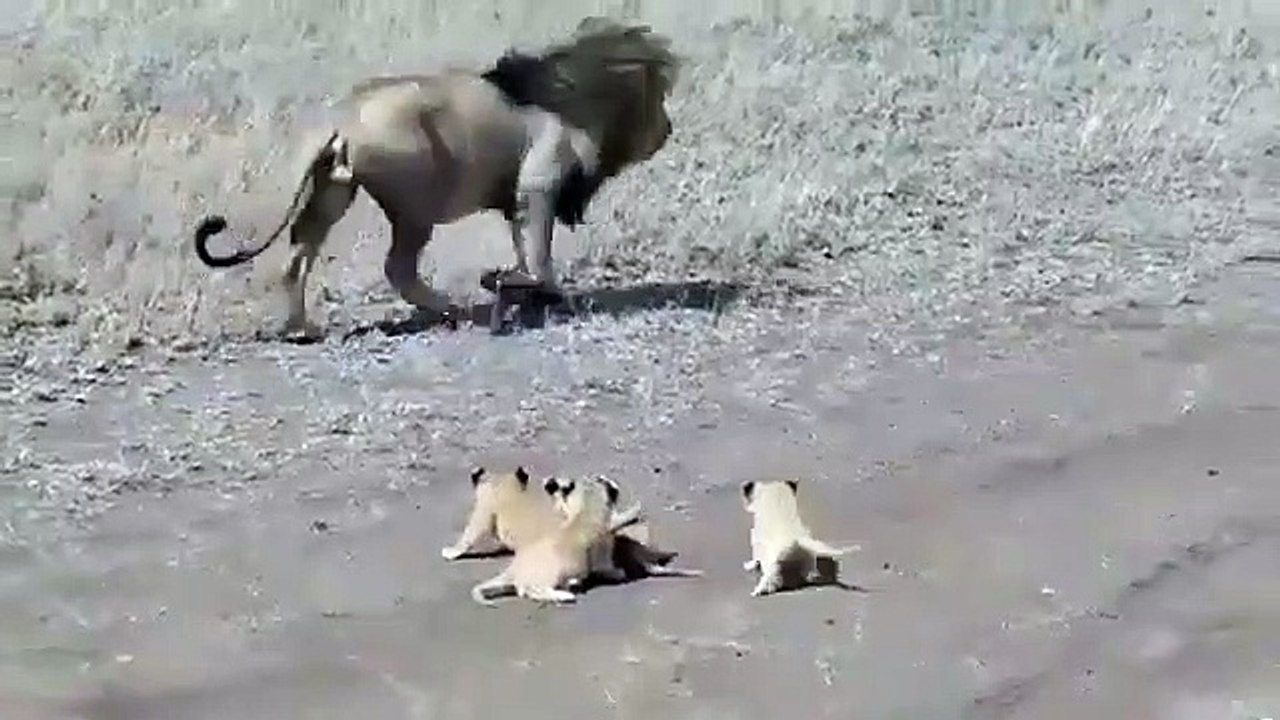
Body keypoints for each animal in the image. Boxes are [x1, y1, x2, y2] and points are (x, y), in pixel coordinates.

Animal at [192, 17, 681, 340]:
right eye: (659, 101)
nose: (669, 128)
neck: (580, 100)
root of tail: (343, 117)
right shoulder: (538, 187)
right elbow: (539, 255)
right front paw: (523, 289)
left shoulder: (518, 200)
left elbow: (526, 250)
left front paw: (522, 289)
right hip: (416, 202)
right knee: (397, 267)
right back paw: (451, 309)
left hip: (332, 189)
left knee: (297, 256)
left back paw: (302, 328)